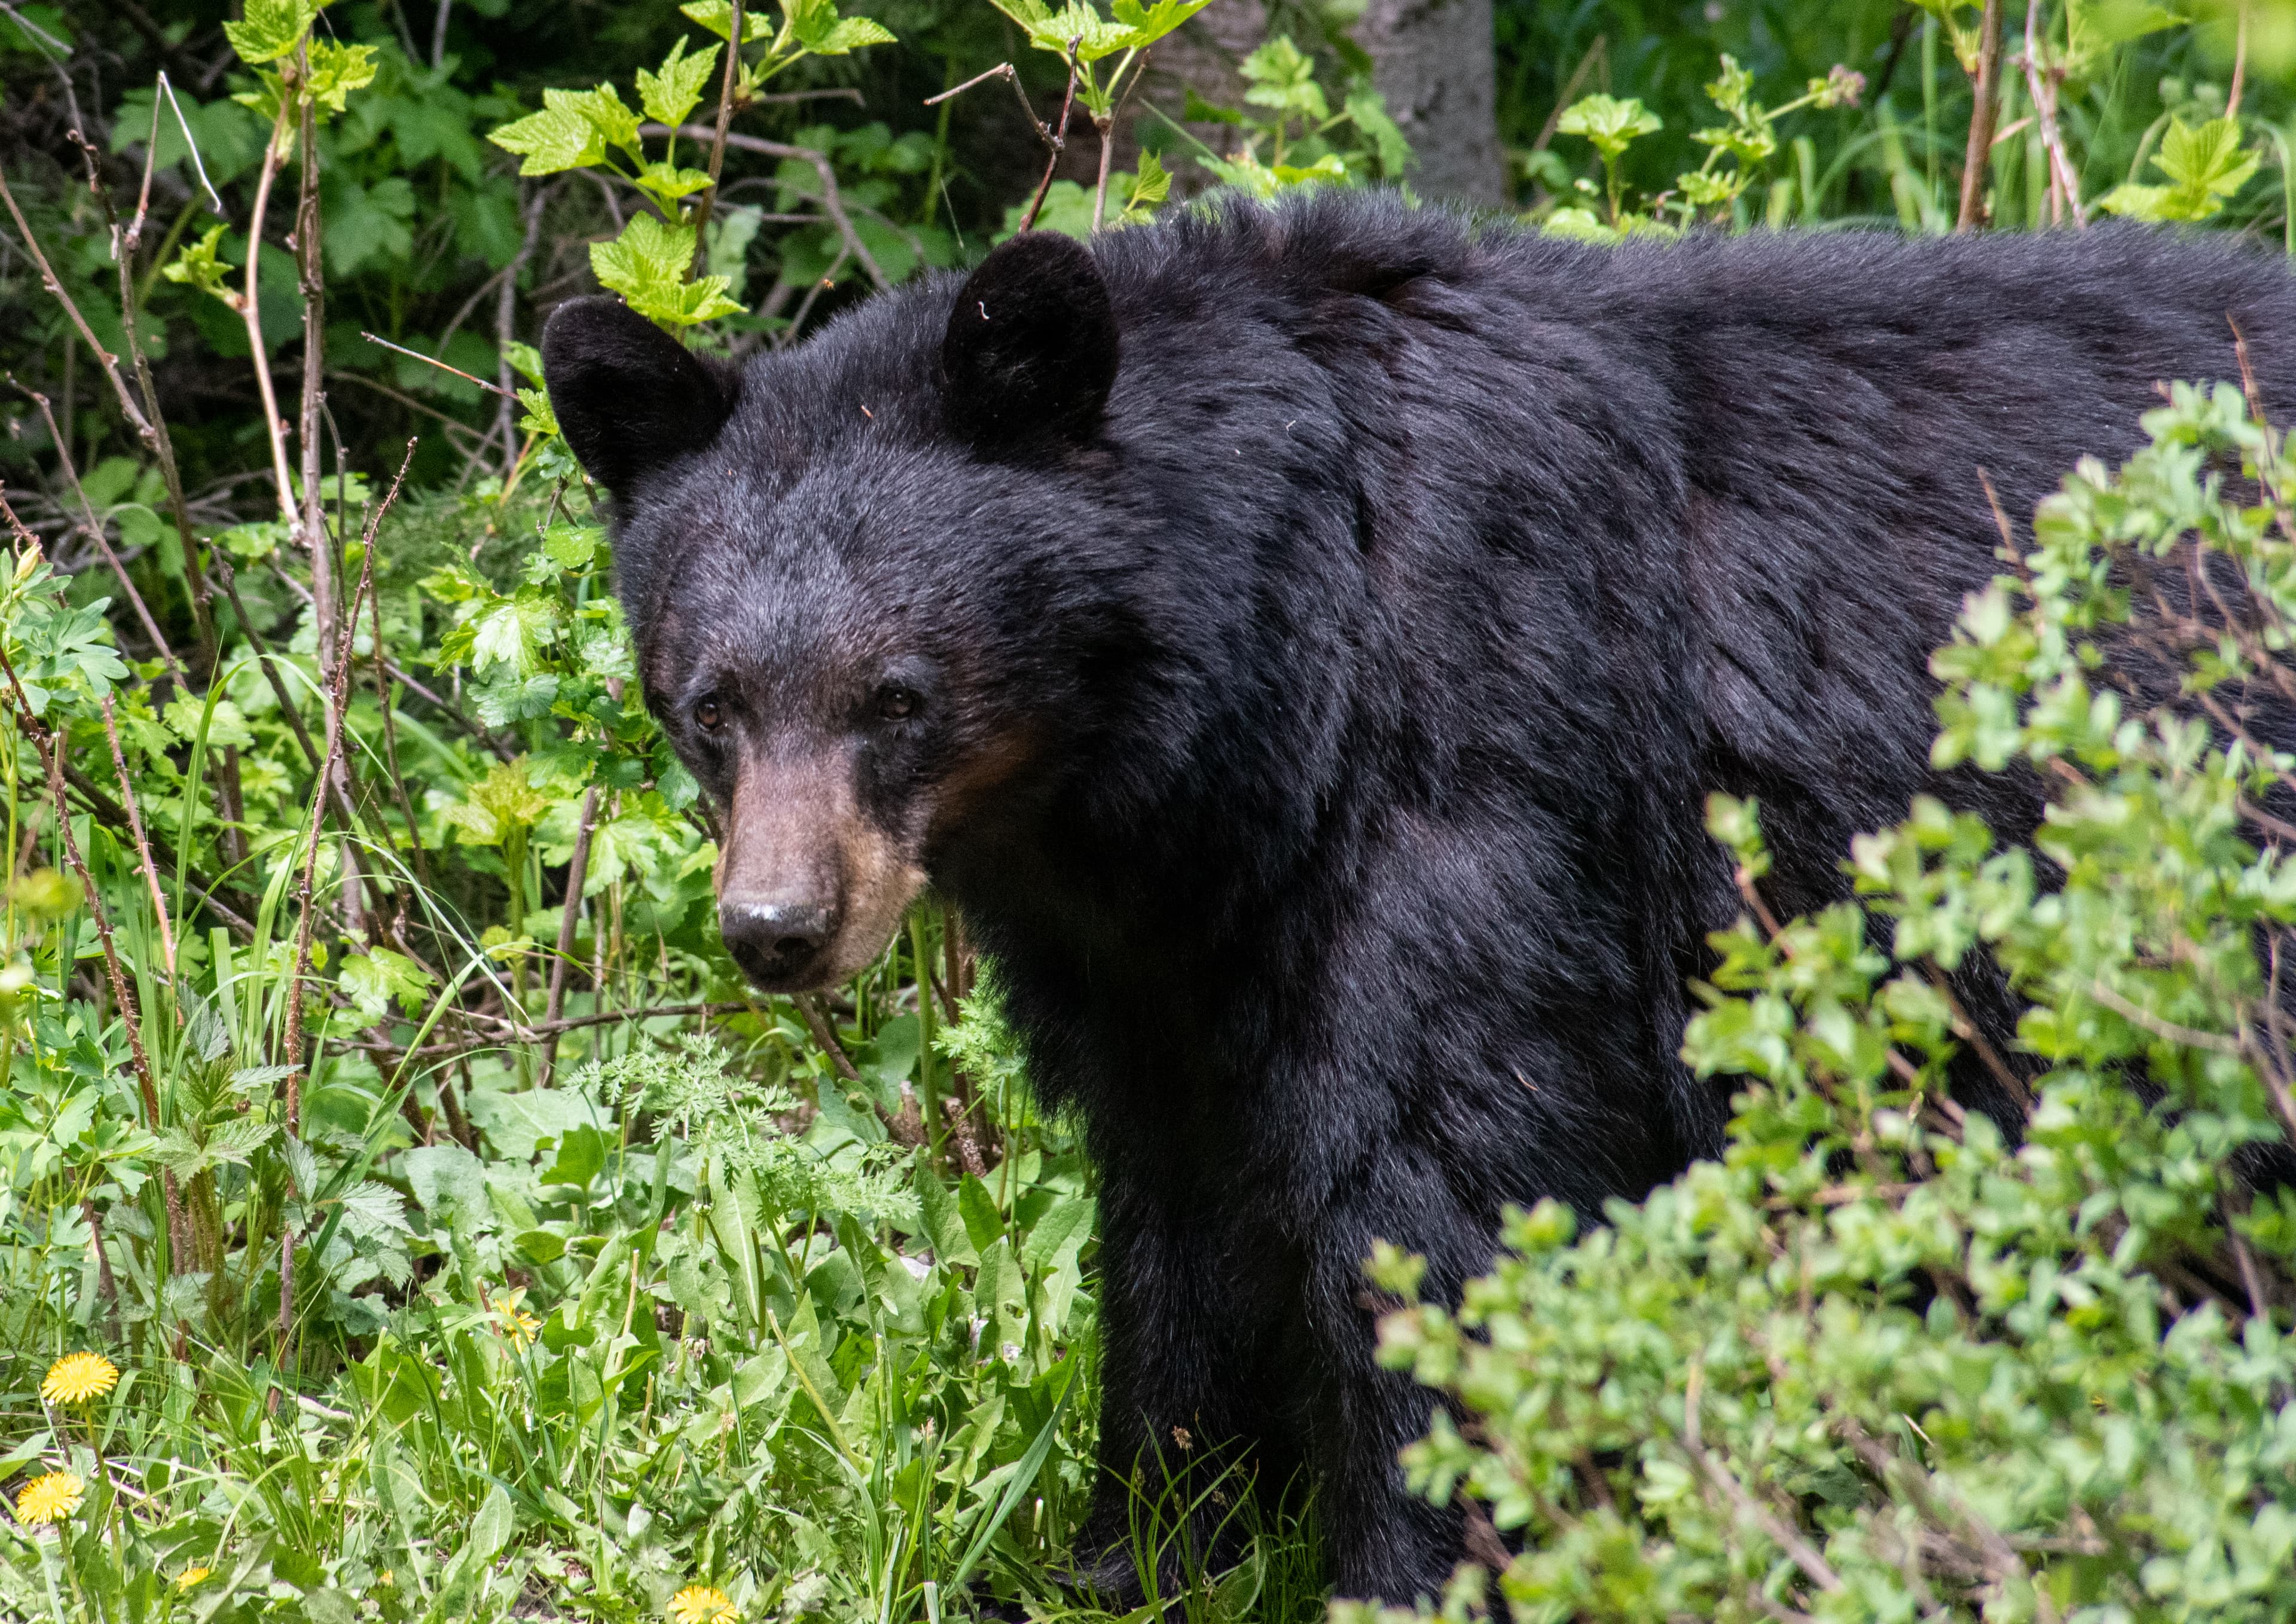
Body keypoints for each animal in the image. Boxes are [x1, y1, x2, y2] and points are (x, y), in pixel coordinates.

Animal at [541, 190, 2296, 1605]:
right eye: (711, 705)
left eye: (898, 696)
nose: (777, 929)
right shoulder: (1167, 952)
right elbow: (1180, 1222)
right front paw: (1129, 1555)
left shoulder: (1478, 777)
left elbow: (1451, 1190)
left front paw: (1416, 1568)